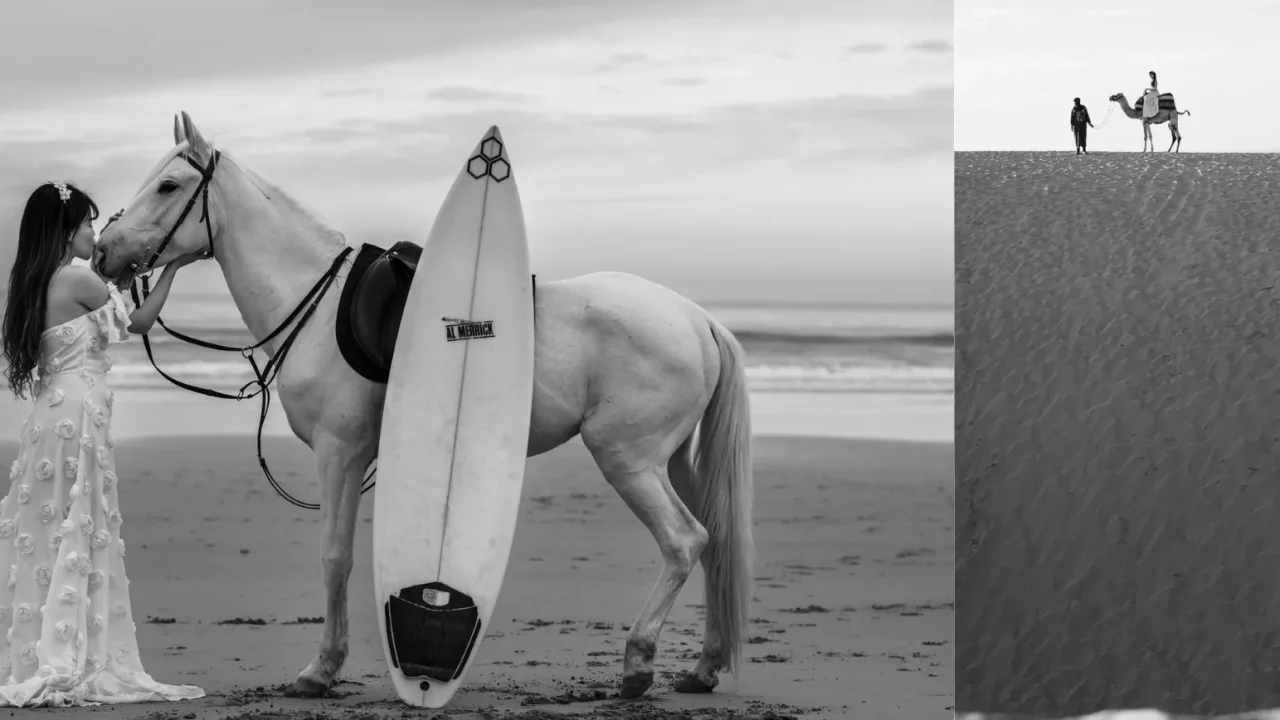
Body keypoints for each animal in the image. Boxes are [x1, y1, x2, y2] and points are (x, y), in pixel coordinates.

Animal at [92, 112, 755, 701]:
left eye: (168, 185)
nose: (103, 252)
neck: (315, 302)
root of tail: (698, 318)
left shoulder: (339, 454)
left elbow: (335, 557)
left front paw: (320, 670)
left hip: (628, 460)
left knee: (684, 541)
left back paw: (638, 665)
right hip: (670, 462)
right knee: (716, 543)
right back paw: (703, 667)